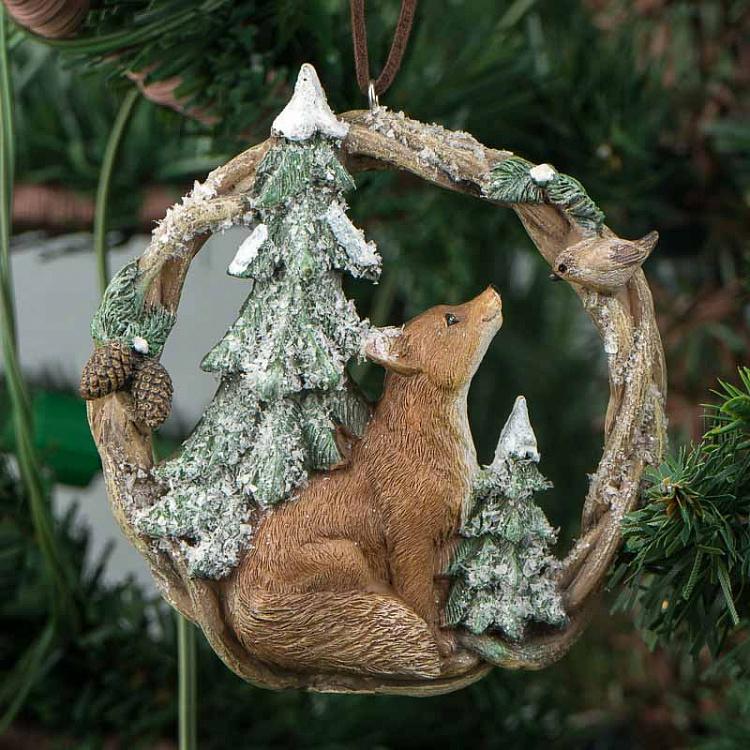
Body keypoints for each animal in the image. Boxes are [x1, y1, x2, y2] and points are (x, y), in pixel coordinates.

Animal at [223, 286, 504, 679]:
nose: (492, 292)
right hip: (346, 556)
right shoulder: (410, 541)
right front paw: (440, 643)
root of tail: (242, 609)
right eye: (451, 318)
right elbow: (419, 601)